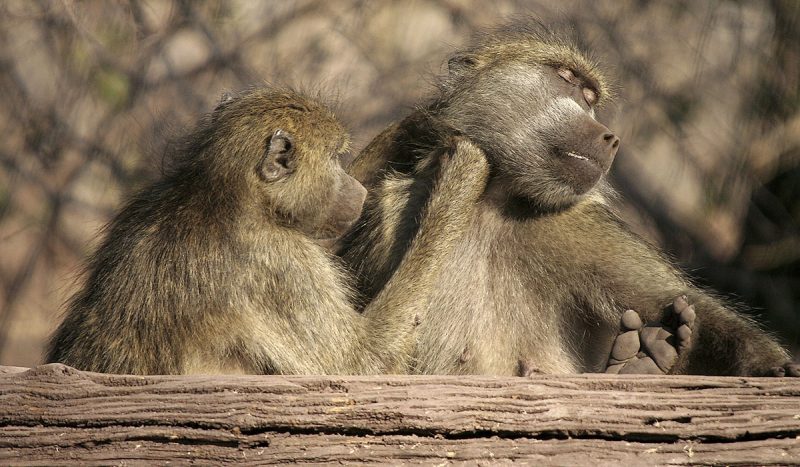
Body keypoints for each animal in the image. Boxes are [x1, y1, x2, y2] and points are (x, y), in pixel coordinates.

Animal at [45, 87, 489, 375]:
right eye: (334, 159)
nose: (357, 191)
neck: (230, 194)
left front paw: (414, 126)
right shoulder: (282, 265)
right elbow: (358, 365)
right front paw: (461, 175)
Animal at [338, 22, 799, 378]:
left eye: (591, 97)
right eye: (565, 77)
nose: (610, 138)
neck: (493, 204)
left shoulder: (579, 227)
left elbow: (692, 306)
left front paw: (774, 368)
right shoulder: (393, 208)